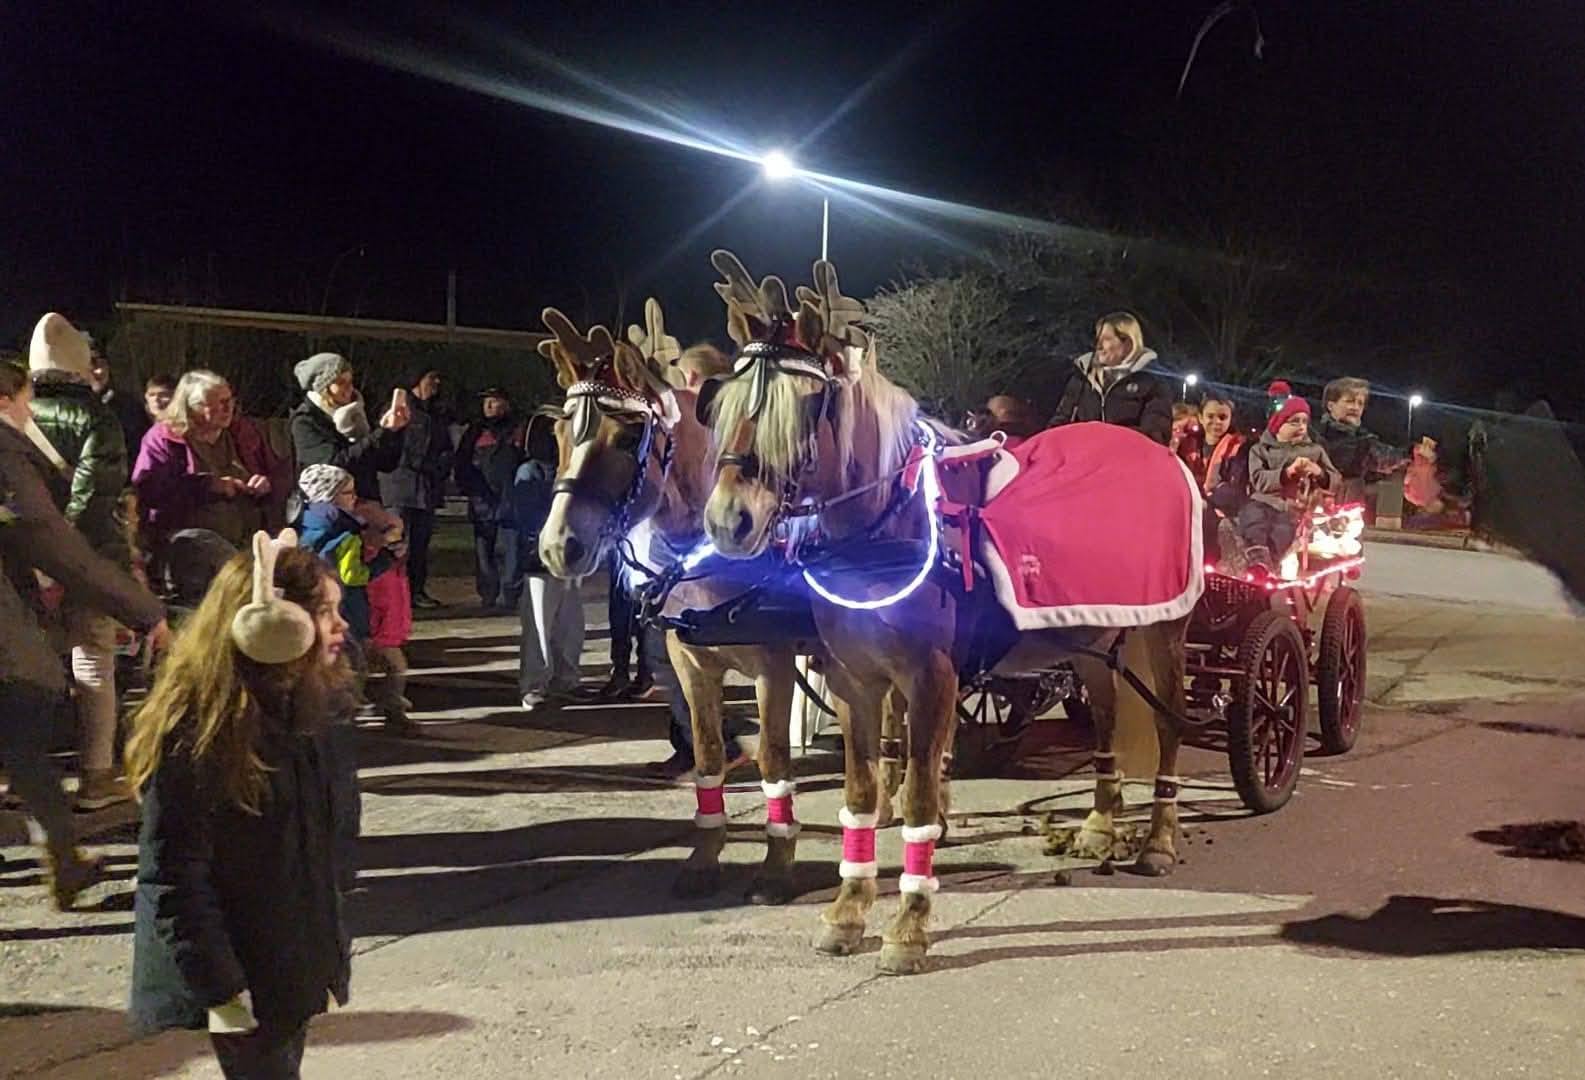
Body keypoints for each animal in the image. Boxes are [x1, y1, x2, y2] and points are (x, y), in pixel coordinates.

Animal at [534, 303, 816, 903]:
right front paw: (704, 856)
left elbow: (774, 758)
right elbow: (707, 751)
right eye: (560, 431)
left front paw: (777, 864)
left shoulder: (775, 665)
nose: (558, 545)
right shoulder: (690, 661)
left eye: (627, 437)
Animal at [697, 251, 1196, 975]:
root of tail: (1162, 455)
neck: (889, 520)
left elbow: (920, 797)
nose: (728, 520)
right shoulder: (854, 681)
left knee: (1168, 724)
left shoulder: (931, 679)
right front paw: (848, 911)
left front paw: (908, 923)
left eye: (807, 404)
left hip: (1164, 633)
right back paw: (1101, 824)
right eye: (724, 401)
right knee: (1104, 718)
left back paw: (1158, 837)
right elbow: (860, 795)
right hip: (1089, 642)